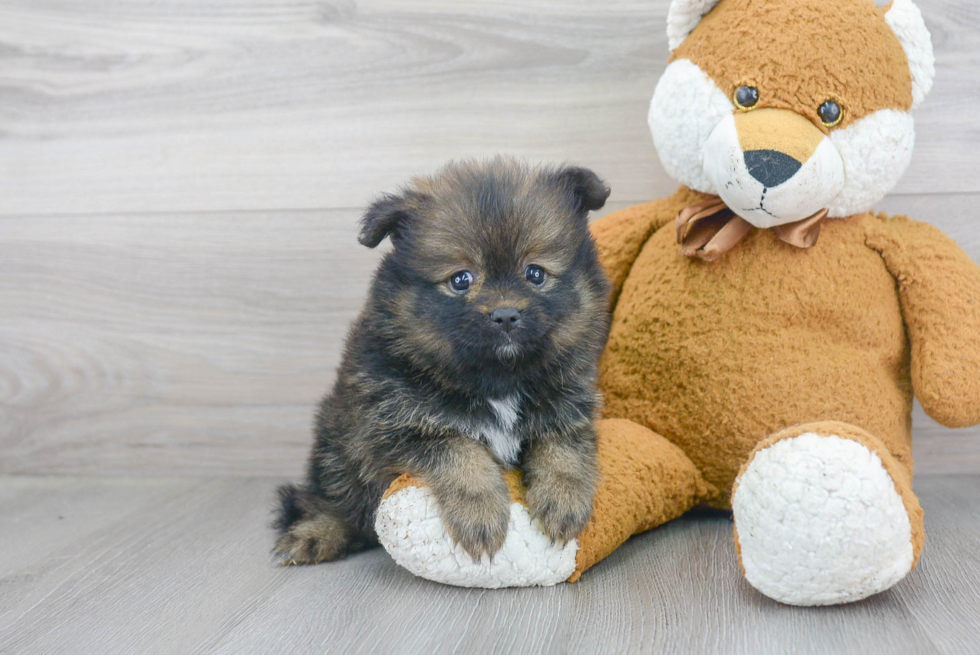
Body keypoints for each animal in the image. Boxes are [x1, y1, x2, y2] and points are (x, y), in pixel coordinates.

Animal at [276, 158, 608, 564]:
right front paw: (480, 514)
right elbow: (462, 452)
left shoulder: (566, 405)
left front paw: (564, 500)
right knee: (337, 498)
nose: (506, 315)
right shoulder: (395, 428)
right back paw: (316, 533)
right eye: (461, 279)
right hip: (336, 442)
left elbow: (563, 450)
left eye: (535, 273)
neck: (498, 380)